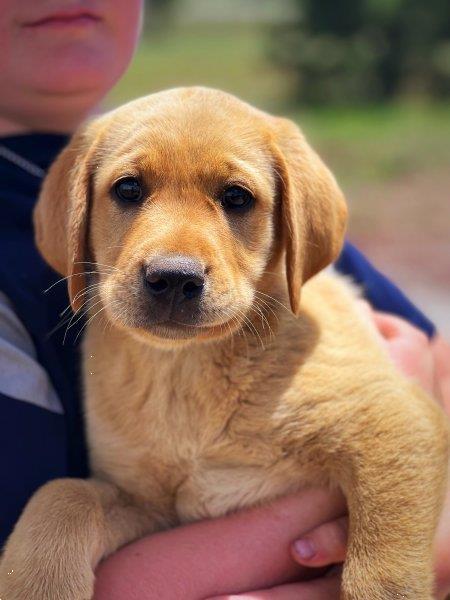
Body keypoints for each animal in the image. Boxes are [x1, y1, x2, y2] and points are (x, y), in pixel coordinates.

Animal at [1, 88, 448, 600]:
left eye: (236, 197)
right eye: (128, 189)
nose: (174, 278)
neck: (184, 372)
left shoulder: (396, 422)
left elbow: (382, 572)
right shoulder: (147, 502)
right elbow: (62, 495)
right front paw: (36, 582)